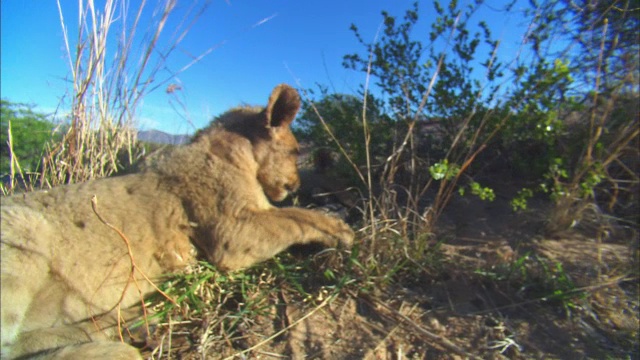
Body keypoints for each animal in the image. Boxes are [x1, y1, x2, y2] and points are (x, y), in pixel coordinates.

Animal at [0, 85, 356, 360]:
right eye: (295, 151)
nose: (295, 184)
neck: (233, 153)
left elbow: (295, 212)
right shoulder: (232, 235)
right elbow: (297, 218)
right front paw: (342, 231)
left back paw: (130, 326)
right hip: (22, 234)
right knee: (9, 344)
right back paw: (115, 347)